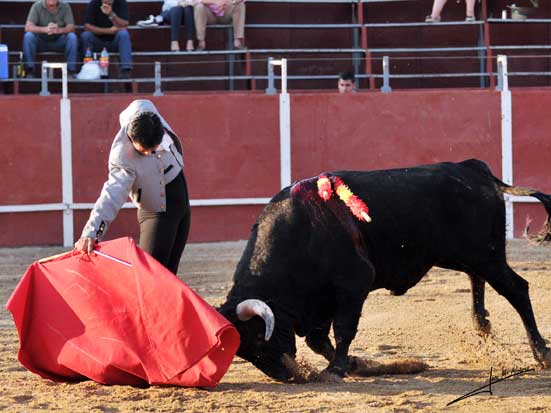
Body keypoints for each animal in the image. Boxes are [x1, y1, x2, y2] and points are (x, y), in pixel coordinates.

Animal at [218, 159, 548, 380]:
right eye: (242, 351)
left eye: (259, 338)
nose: (284, 376)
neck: (302, 231)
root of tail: (472, 168)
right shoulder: (321, 299)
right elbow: (317, 339)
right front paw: (353, 364)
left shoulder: (353, 285)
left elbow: (343, 329)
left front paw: (338, 368)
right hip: (464, 255)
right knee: (476, 276)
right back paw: (482, 323)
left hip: (486, 255)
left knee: (517, 289)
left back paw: (541, 353)